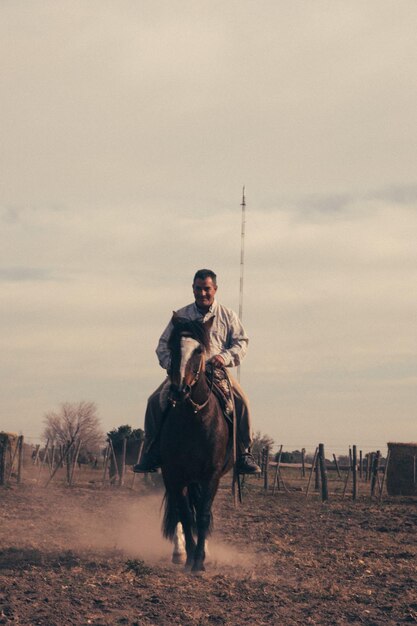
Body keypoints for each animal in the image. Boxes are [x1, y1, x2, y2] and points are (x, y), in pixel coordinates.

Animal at [159, 312, 232, 572]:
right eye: (173, 347)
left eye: (199, 350)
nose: (180, 390)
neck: (194, 418)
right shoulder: (174, 474)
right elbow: (185, 514)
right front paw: (189, 556)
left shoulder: (210, 475)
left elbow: (202, 515)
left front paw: (200, 561)